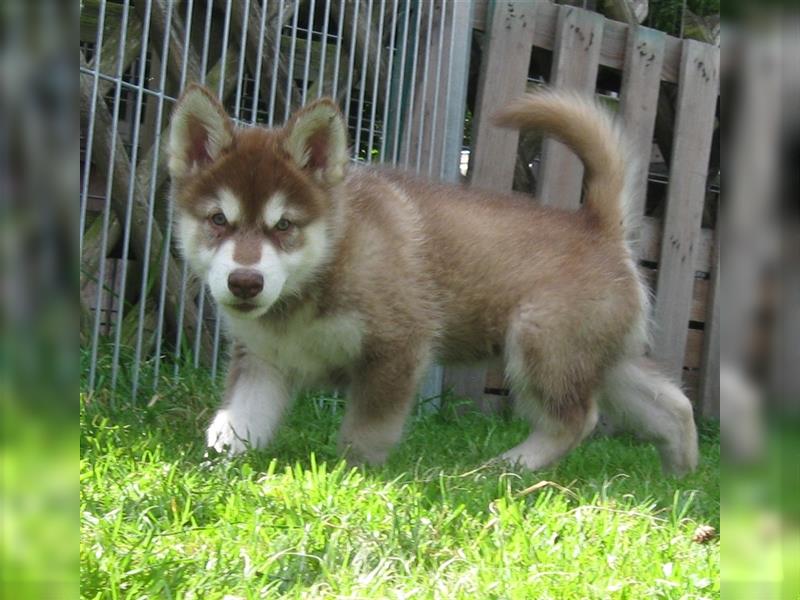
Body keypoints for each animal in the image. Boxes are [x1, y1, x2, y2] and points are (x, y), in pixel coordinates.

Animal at [170, 84, 700, 476]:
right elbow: (236, 425)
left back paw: (507, 467)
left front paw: (353, 479)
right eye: (218, 220)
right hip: (600, 358)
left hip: (540, 343)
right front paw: (210, 471)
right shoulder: (264, 363)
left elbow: (366, 433)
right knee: (673, 403)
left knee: (576, 420)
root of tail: (599, 224)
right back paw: (680, 475)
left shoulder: (397, 348)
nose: (245, 282)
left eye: (284, 226)